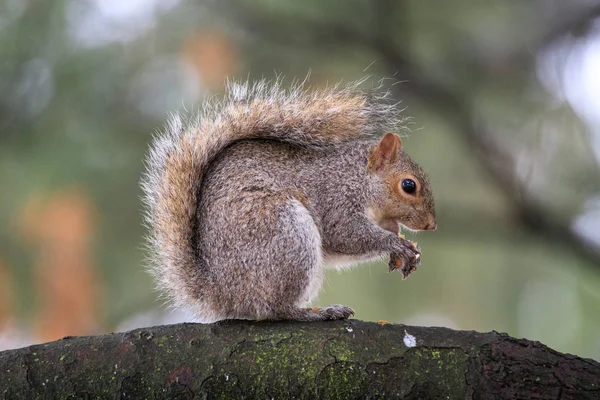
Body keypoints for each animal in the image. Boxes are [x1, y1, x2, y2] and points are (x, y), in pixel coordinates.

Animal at [143, 79, 438, 324]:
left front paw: (401, 244)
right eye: (408, 185)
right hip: (287, 235)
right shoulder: (335, 198)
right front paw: (396, 244)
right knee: (275, 310)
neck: (357, 176)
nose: (431, 225)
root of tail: (225, 294)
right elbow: (345, 235)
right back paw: (319, 313)